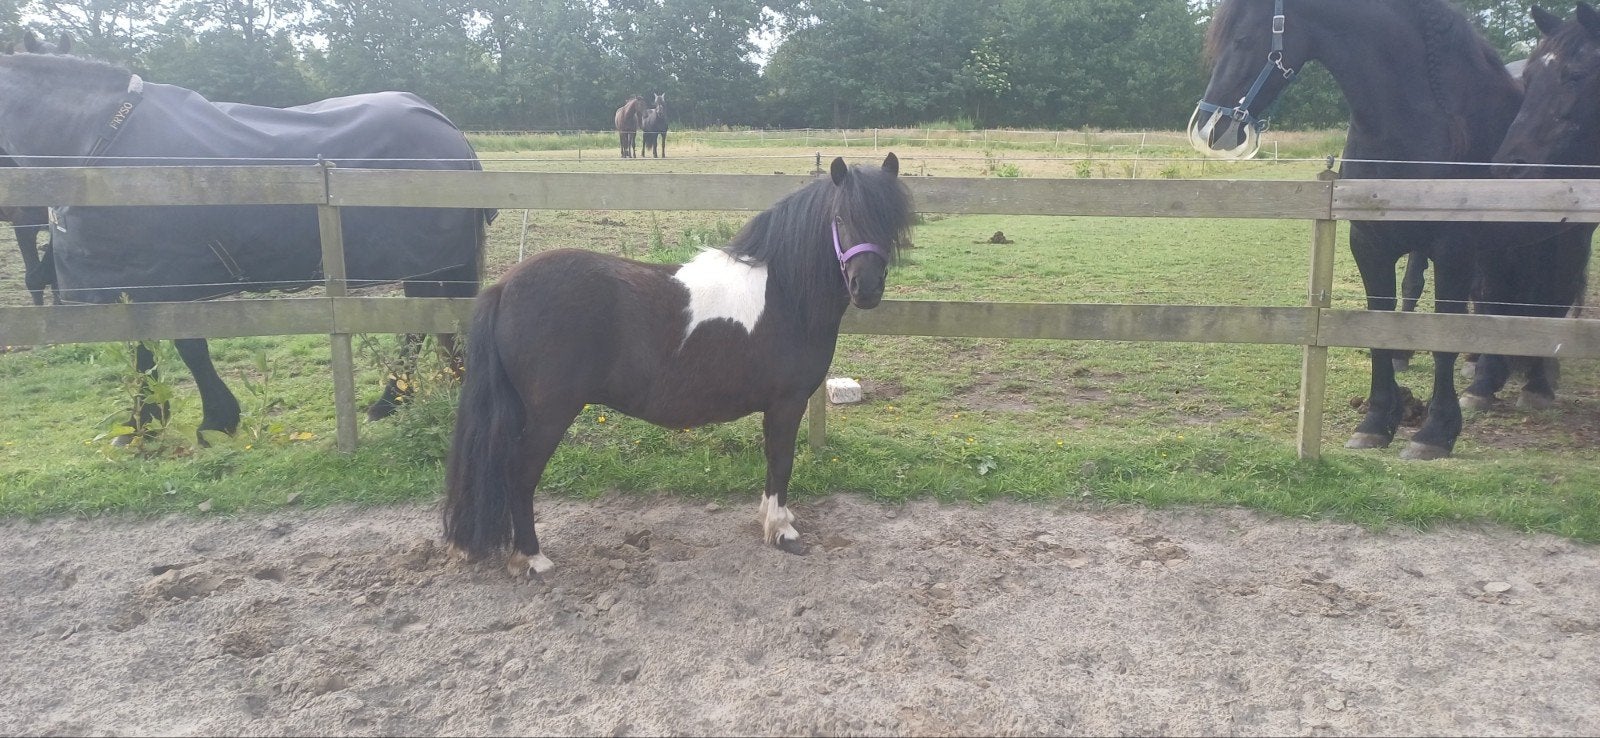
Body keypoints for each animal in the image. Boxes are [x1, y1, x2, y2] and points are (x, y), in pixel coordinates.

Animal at [0, 53, 493, 443]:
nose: (17, 214)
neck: (94, 143)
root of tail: (446, 127)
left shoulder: (158, 279)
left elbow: (174, 348)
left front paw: (186, 422)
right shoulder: (145, 284)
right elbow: (159, 348)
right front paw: (163, 420)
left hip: (428, 261)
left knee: (417, 326)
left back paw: (389, 401)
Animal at [444, 153, 913, 575]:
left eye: (890, 220)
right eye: (840, 218)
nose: (866, 288)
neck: (784, 291)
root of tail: (504, 286)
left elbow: (770, 461)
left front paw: (770, 519)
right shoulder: (787, 402)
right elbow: (781, 461)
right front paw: (782, 531)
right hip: (550, 413)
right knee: (519, 475)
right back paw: (533, 558)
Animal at [1189, 0, 1594, 460]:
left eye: (1242, 40)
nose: (1208, 129)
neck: (1419, 126)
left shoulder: (1454, 253)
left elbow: (1445, 337)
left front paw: (1435, 432)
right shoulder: (1370, 246)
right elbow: (1380, 329)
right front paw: (1376, 423)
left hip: (1567, 237)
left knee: (1551, 299)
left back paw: (1537, 384)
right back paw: (1486, 381)